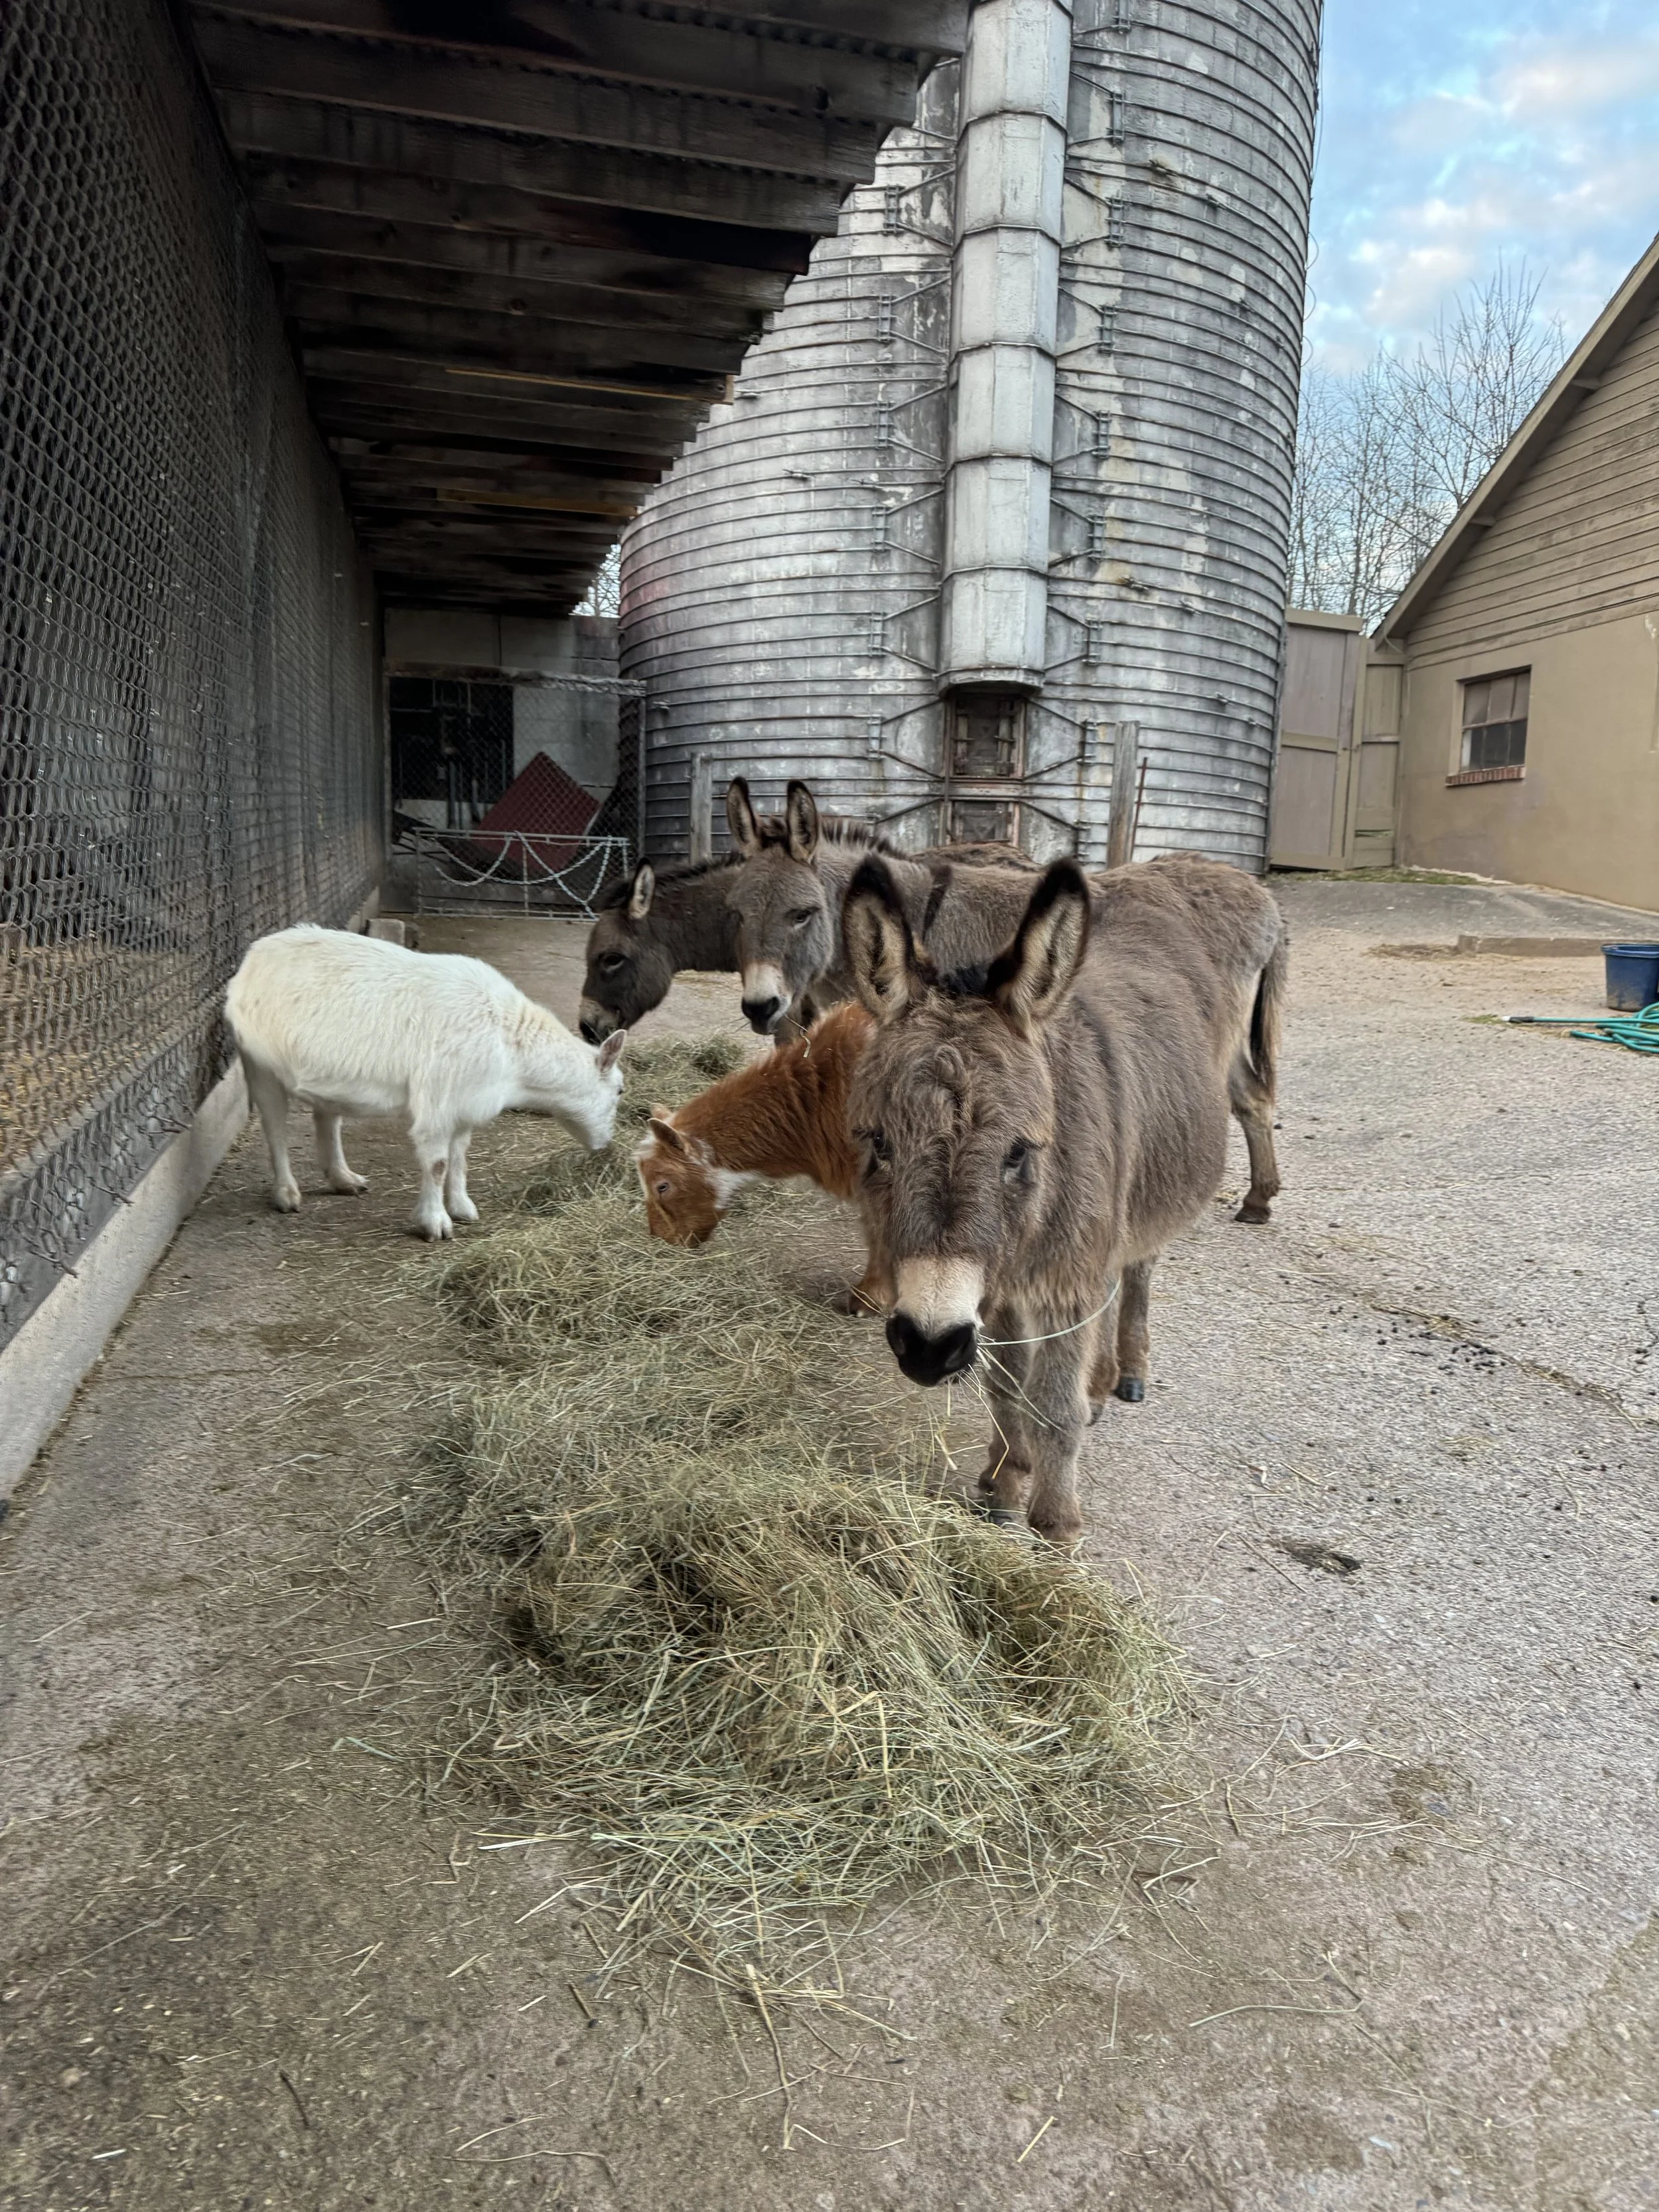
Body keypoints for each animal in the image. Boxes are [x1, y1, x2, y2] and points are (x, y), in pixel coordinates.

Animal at [225, 925, 624, 1240]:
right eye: (620, 1091)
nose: (606, 1147)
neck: (510, 1044)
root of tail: (253, 956)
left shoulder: (464, 1103)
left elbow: (460, 1157)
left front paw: (462, 1207)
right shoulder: (439, 1100)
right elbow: (438, 1163)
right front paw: (435, 1223)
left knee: (327, 1118)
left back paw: (343, 1179)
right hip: (259, 1063)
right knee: (275, 1127)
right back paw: (286, 1194)